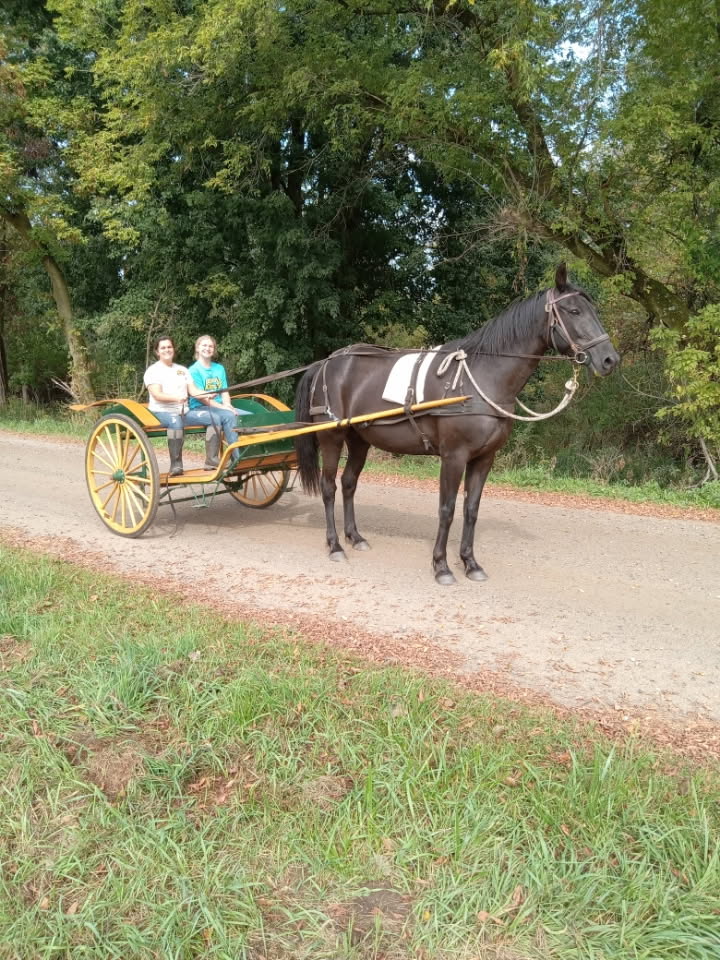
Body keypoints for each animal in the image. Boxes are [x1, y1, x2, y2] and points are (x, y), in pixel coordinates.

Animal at [294, 265, 620, 584]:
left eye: (593, 310)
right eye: (574, 311)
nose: (610, 360)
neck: (481, 377)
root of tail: (326, 363)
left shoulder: (484, 458)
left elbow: (471, 509)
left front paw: (470, 563)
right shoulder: (454, 456)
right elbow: (447, 509)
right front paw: (442, 566)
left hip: (359, 439)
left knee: (349, 483)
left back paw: (355, 537)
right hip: (331, 437)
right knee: (328, 487)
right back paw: (335, 545)